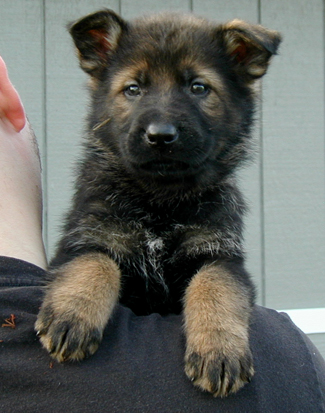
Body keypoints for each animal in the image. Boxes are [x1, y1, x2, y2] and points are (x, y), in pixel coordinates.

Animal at [34, 9, 278, 396]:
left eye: (198, 87)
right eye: (133, 88)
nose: (160, 136)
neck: (160, 200)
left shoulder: (221, 254)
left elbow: (215, 286)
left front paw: (219, 348)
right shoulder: (87, 237)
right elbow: (96, 263)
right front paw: (72, 313)